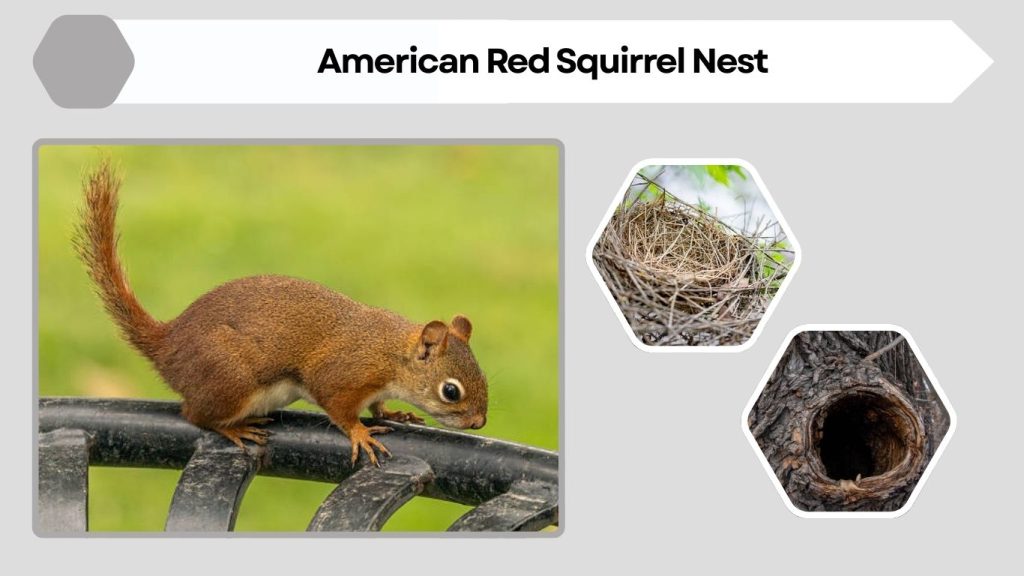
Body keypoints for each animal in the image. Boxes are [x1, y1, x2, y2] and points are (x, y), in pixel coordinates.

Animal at [72, 161, 488, 466]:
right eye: (451, 391)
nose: (479, 421)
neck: (391, 352)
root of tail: (166, 344)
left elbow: (378, 405)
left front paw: (394, 414)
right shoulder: (343, 374)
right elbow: (339, 408)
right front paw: (362, 433)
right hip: (231, 379)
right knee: (194, 414)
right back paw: (234, 429)